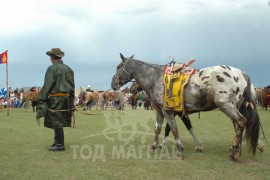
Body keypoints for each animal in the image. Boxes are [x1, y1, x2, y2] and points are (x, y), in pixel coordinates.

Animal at [110, 53, 260, 160]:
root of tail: (241, 72)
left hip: (226, 105)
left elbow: (173, 129)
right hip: (234, 107)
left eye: (118, 67)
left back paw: (234, 150)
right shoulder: (160, 111)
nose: (113, 84)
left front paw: (180, 150)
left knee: (241, 122)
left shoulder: (168, 111)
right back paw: (237, 150)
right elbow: (158, 129)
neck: (156, 79)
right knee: (239, 126)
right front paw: (153, 147)